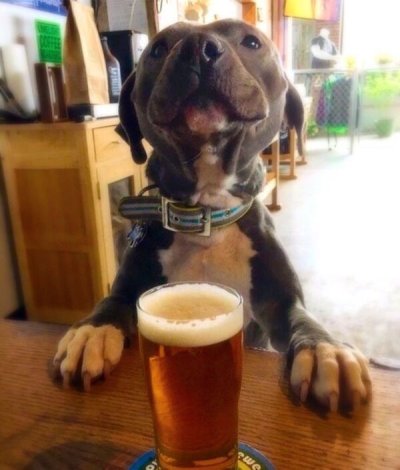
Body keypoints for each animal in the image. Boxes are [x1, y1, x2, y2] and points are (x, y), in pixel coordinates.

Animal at [54, 19, 371, 411]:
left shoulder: (281, 302)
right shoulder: (128, 290)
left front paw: (327, 351)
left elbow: (304, 320)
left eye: (251, 41)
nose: (198, 46)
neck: (207, 214)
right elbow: (109, 305)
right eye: (158, 48)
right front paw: (90, 333)